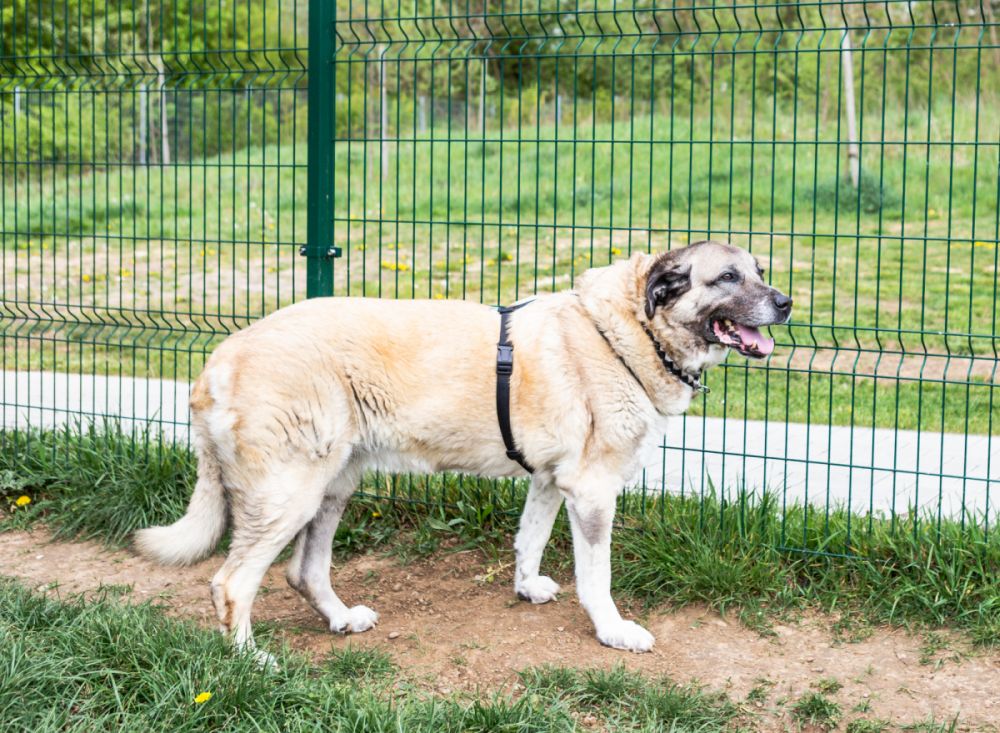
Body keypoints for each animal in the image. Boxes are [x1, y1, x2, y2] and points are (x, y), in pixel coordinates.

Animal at [135, 239, 788, 652]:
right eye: (727, 278)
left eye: (759, 270)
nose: (784, 302)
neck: (628, 330)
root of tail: (218, 358)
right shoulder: (593, 493)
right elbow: (595, 577)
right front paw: (613, 631)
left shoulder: (551, 481)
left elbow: (529, 540)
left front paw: (526, 588)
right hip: (290, 493)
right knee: (232, 584)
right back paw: (253, 662)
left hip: (333, 486)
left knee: (303, 571)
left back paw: (341, 620)